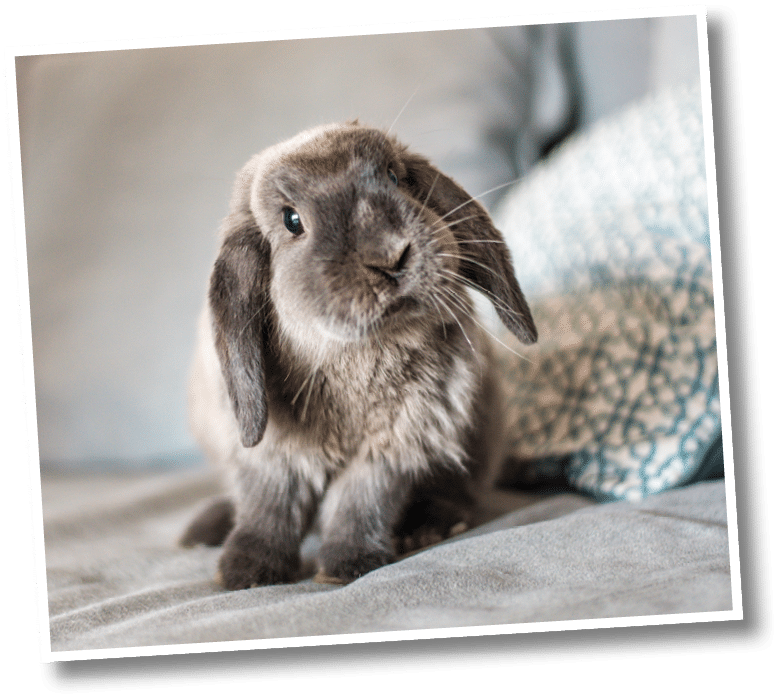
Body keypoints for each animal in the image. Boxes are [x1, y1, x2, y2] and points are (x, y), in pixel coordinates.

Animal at [181, 121, 537, 589]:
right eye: (291, 220)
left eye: (394, 177)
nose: (390, 256)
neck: (356, 354)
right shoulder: (272, 454)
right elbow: (269, 505)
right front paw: (246, 572)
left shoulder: (393, 445)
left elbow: (360, 502)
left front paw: (347, 565)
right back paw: (203, 530)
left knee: (459, 492)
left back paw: (429, 526)